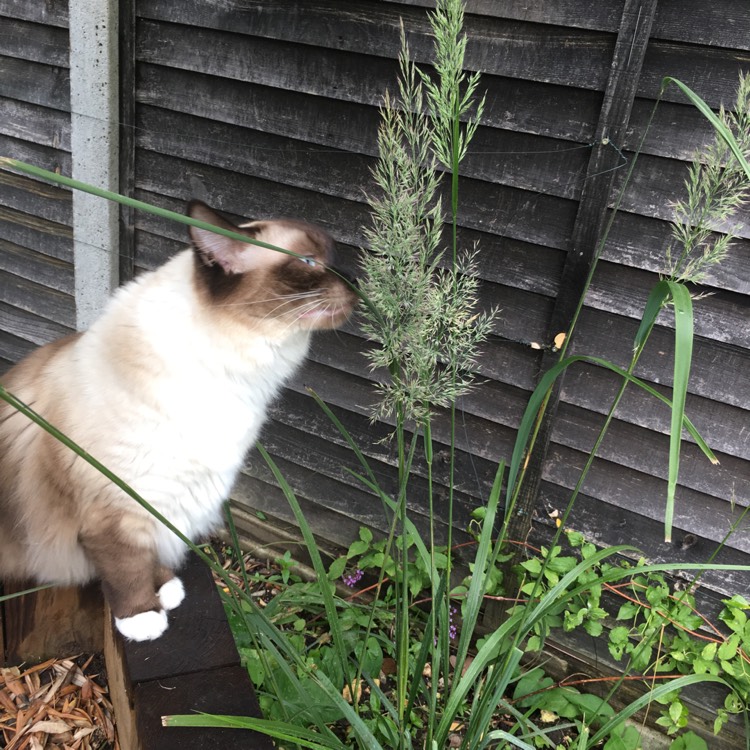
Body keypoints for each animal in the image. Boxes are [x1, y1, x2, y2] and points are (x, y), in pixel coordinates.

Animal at [0, 203, 358, 644]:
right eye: (309, 262)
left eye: (333, 256)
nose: (356, 281)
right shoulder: (119, 508)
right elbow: (127, 567)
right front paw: (142, 618)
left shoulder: (166, 498)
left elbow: (154, 552)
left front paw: (166, 588)